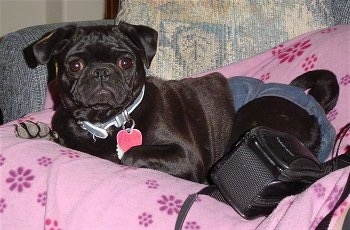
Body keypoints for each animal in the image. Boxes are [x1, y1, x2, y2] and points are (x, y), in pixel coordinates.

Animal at [17, 21, 340, 183]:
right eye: (75, 66)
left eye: (125, 62)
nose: (101, 72)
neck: (105, 122)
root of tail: (312, 107)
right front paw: (39, 132)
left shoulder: (186, 157)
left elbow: (130, 154)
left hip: (251, 120)